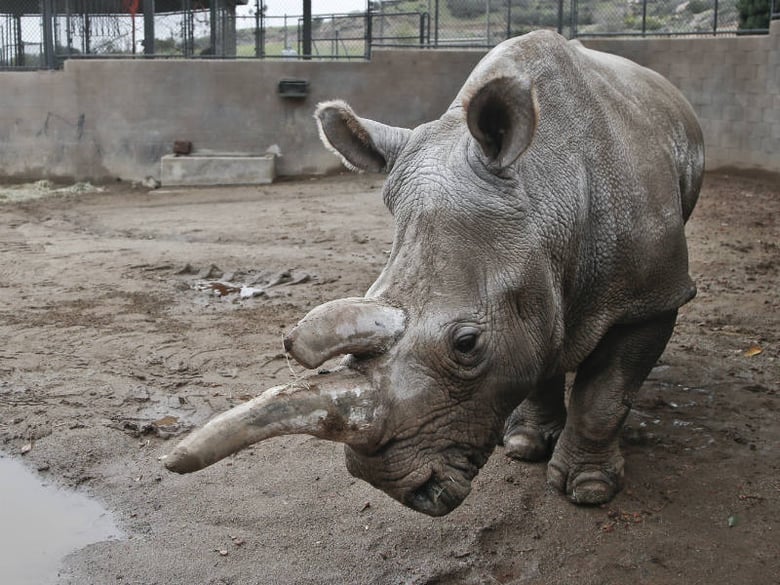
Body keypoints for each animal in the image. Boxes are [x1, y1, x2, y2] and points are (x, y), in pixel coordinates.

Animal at [164, 30, 704, 516]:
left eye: (466, 344)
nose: (395, 488)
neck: (547, 191)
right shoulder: (537, 273)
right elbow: (540, 349)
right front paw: (525, 445)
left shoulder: (654, 297)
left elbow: (605, 396)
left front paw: (589, 490)